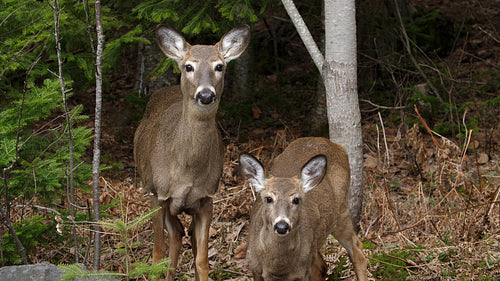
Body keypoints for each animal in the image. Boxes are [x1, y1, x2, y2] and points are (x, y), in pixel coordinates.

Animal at [133, 24, 250, 280]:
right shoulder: (158, 195)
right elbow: (157, 253)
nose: (205, 95)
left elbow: (202, 259)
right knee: (174, 239)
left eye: (219, 66)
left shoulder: (206, 198)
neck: (186, 169)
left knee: (182, 238)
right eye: (188, 66)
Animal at [240, 137, 370, 280]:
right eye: (268, 198)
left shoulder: (304, 271)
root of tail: (334, 144)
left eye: (296, 199)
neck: (277, 270)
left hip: (341, 212)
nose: (282, 226)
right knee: (323, 265)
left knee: (357, 249)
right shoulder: (255, 268)